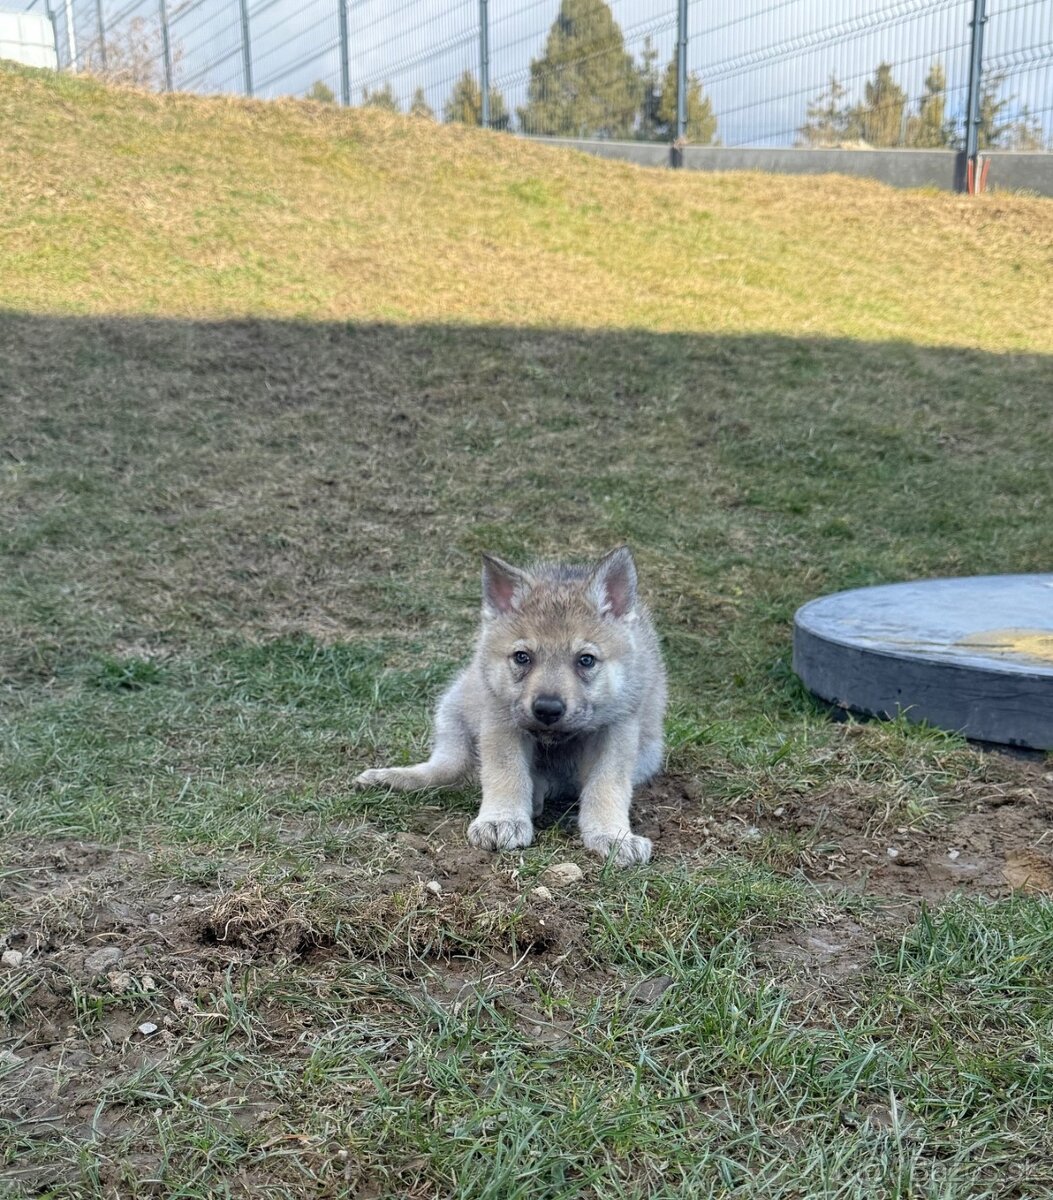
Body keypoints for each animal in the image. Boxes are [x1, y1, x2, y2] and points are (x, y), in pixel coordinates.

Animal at [354, 544, 666, 864]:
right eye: (522, 657)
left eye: (586, 660)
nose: (547, 709)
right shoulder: (500, 718)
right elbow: (506, 772)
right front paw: (501, 819)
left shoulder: (617, 729)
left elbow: (607, 784)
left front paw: (613, 834)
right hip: (453, 711)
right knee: (447, 771)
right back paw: (390, 778)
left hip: (647, 754)